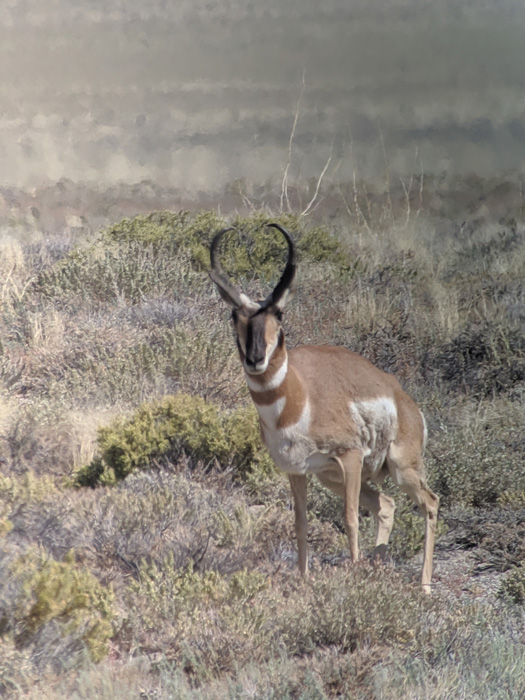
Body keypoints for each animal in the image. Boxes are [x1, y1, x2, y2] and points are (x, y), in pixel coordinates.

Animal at [209, 223, 439, 591]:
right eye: (234, 315)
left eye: (279, 313)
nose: (255, 358)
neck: (299, 398)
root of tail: (404, 398)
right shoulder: (297, 471)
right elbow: (300, 523)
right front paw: (304, 580)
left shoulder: (350, 458)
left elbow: (349, 518)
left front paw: (353, 578)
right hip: (331, 477)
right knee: (385, 504)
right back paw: (378, 564)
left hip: (400, 469)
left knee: (429, 502)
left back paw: (423, 585)